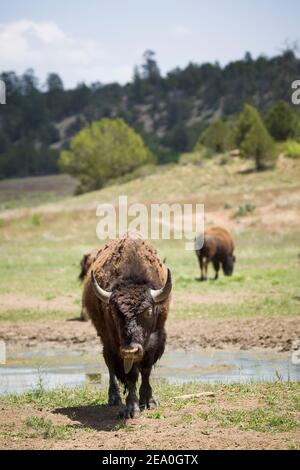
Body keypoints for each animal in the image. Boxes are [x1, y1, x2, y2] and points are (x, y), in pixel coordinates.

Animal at [82, 231, 171, 418]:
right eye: (115, 312)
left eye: (148, 311)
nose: (131, 350)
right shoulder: (118, 345)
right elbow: (131, 374)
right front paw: (132, 408)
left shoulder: (155, 340)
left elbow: (146, 369)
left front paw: (149, 400)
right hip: (106, 339)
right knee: (109, 364)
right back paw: (114, 398)